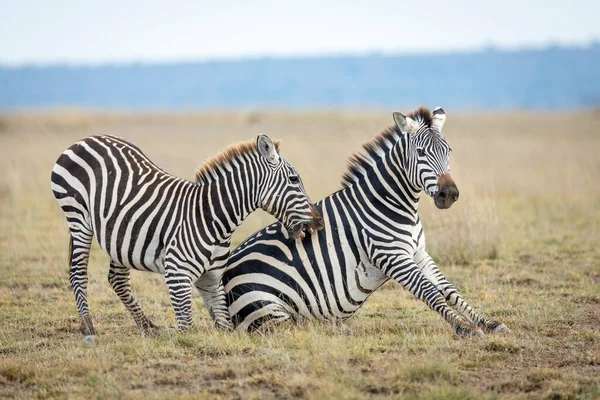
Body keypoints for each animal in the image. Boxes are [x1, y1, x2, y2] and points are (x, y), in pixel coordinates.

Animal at [51, 134, 324, 334]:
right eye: (294, 179)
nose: (319, 221)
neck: (212, 216)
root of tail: (86, 139)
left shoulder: (213, 278)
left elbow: (224, 326)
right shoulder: (177, 274)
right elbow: (187, 329)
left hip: (119, 236)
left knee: (117, 279)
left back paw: (148, 326)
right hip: (78, 217)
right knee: (78, 272)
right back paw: (88, 326)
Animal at [223, 108, 508, 336]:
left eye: (448, 151)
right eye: (420, 152)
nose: (448, 194)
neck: (391, 203)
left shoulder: (418, 252)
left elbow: (450, 290)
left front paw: (488, 323)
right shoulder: (392, 256)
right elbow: (430, 292)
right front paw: (465, 328)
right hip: (269, 306)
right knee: (298, 326)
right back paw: (334, 328)